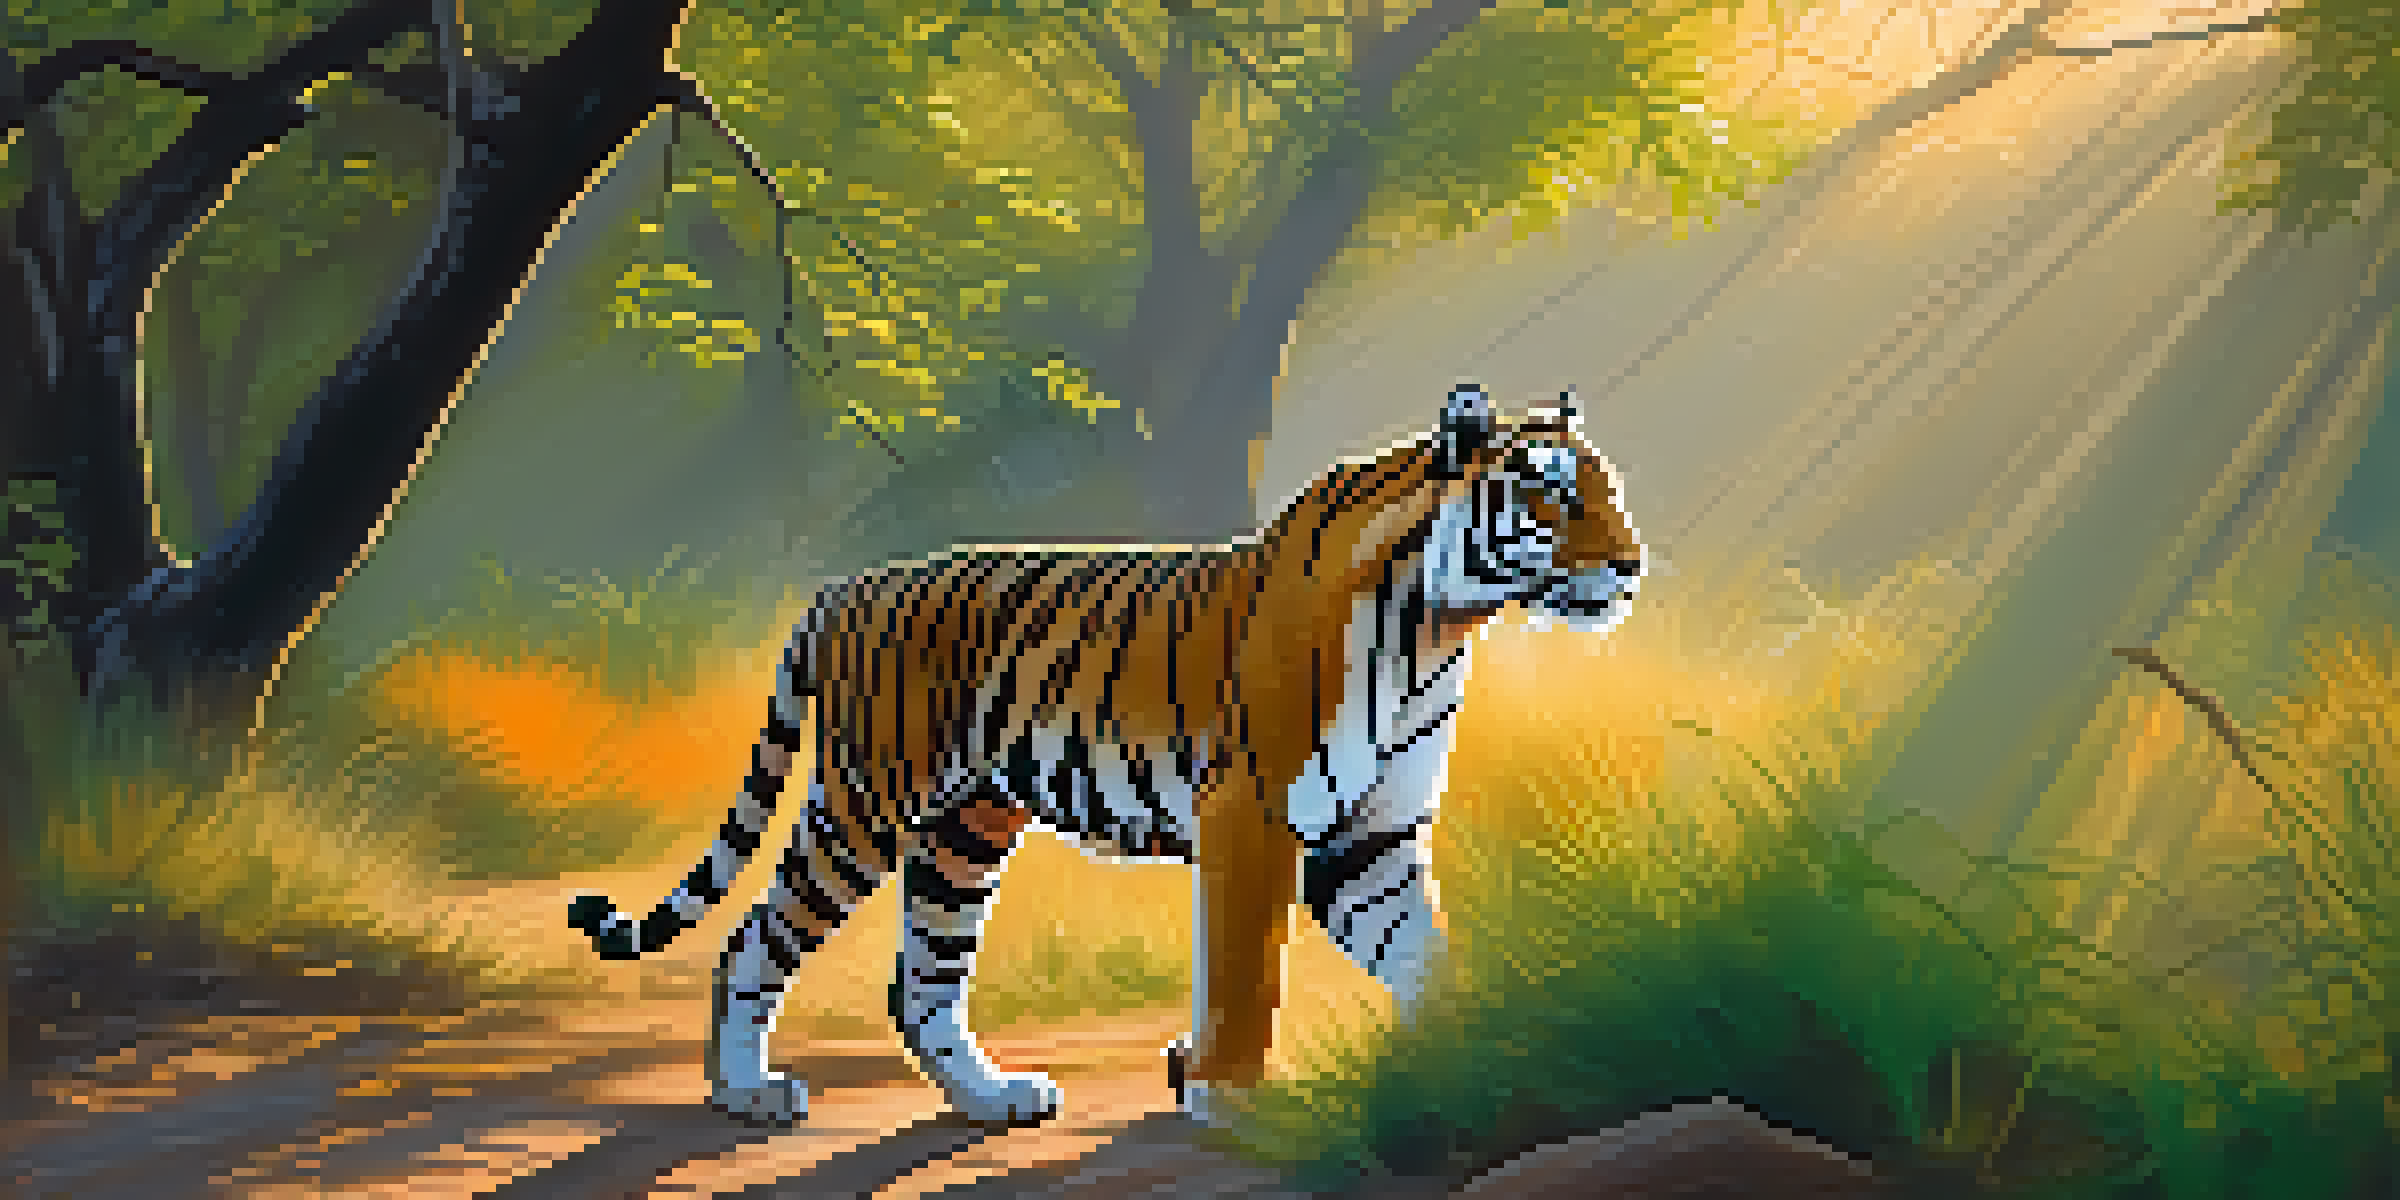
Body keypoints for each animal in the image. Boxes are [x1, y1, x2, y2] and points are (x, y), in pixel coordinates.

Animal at [568, 383, 1646, 1128]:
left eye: (1608, 491)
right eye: (1548, 500)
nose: (1632, 566)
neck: (1437, 630)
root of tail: (840, 589)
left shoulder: (1369, 838)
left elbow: (1427, 956)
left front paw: (1472, 1059)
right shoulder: (1253, 810)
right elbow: (1245, 972)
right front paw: (1230, 1094)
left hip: (965, 828)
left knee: (922, 980)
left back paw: (994, 1099)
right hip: (864, 805)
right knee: (756, 936)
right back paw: (748, 1093)